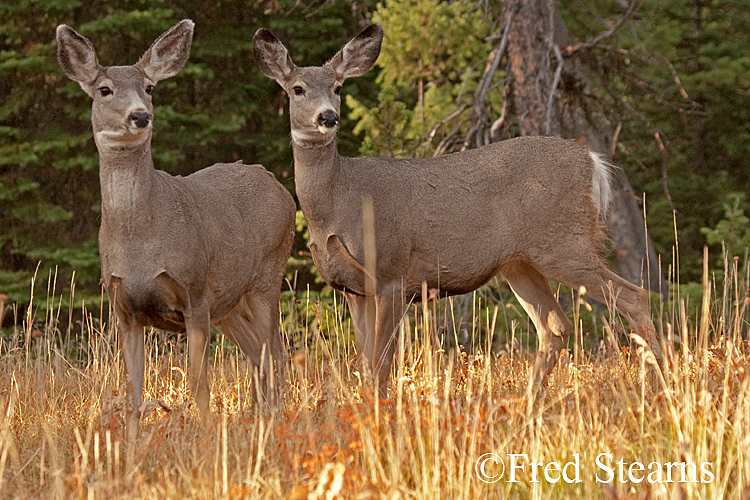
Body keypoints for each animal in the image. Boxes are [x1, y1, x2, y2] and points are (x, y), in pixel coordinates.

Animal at [57, 20, 296, 439]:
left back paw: (273, 422)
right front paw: (131, 447)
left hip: (267, 275)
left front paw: (206, 440)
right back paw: (258, 418)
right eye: (105, 89)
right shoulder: (123, 307)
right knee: (257, 353)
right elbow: (133, 393)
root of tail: (282, 188)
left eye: (149, 87)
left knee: (275, 353)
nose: (140, 116)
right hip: (229, 302)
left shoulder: (193, 290)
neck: (139, 241)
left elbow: (200, 383)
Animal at [253, 23, 663, 395]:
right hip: (520, 262)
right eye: (297, 89)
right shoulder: (353, 289)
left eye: (338, 88)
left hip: (563, 243)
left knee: (633, 297)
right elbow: (365, 363)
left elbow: (381, 363)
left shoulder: (391, 272)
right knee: (555, 326)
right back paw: (530, 404)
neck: (337, 201)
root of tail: (592, 162)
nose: (328, 117)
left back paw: (663, 382)